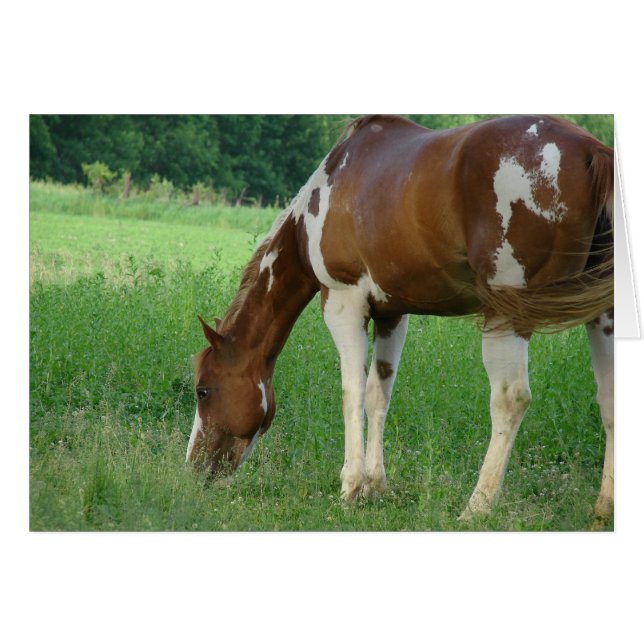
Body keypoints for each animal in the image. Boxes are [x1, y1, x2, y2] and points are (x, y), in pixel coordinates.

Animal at [186, 114, 614, 522]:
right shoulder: (392, 314)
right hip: (603, 315)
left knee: (511, 400)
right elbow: (379, 394)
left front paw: (350, 486)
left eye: (203, 391)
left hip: (508, 314)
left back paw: (476, 508)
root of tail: (592, 151)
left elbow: (352, 392)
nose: (194, 468)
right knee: (608, 397)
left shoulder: (343, 305)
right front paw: (375, 486)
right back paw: (603, 507)